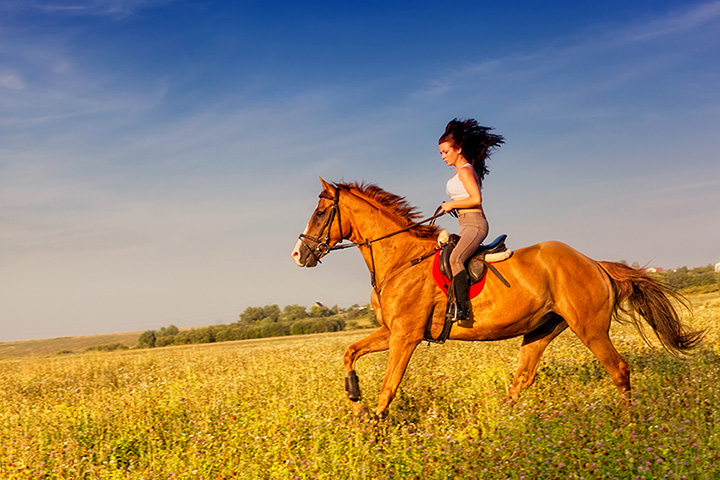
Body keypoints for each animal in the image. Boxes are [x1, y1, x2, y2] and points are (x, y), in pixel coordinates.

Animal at [290, 178, 700, 418]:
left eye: (321, 213)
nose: (298, 254)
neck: (401, 258)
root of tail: (593, 262)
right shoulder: (392, 331)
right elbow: (350, 352)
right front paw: (355, 398)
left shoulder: (406, 336)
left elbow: (389, 387)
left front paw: (374, 427)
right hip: (541, 330)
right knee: (523, 378)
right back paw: (504, 423)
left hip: (590, 328)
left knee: (619, 370)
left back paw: (630, 425)